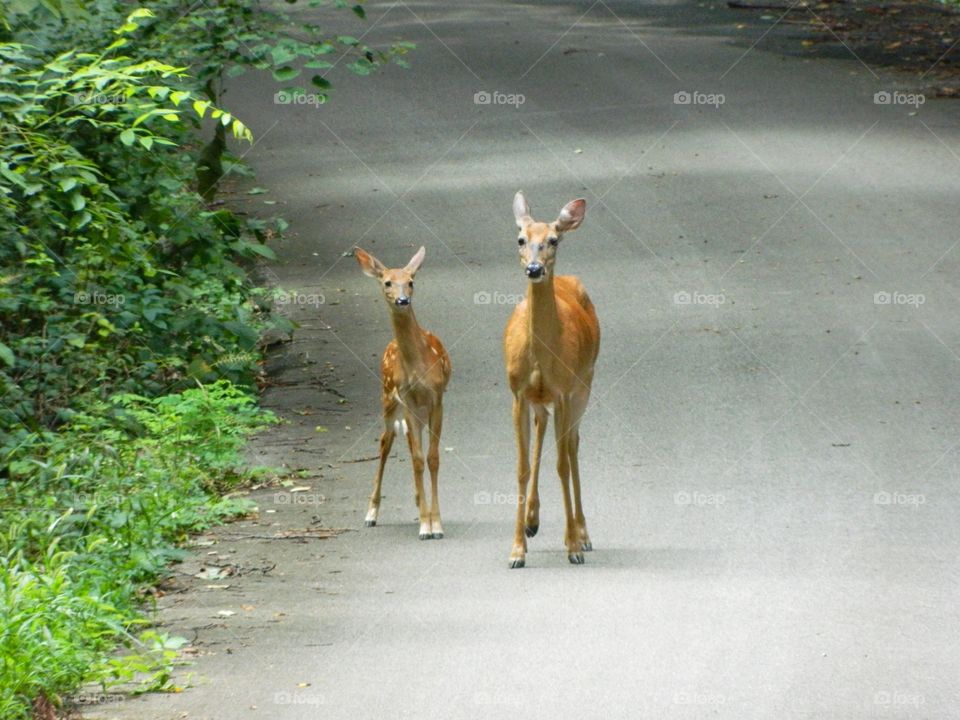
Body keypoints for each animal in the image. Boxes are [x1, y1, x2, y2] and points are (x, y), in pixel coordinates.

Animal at [354, 246, 452, 540]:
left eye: (411, 281)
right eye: (387, 282)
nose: (402, 300)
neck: (418, 367)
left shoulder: (437, 398)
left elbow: (431, 458)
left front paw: (436, 524)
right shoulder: (407, 399)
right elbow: (419, 458)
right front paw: (425, 526)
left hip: (415, 408)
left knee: (408, 442)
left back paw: (420, 503)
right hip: (388, 398)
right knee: (386, 441)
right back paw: (371, 514)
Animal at [503, 192, 600, 568]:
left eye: (554, 240)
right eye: (520, 239)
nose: (534, 269)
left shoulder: (563, 391)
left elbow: (561, 464)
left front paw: (572, 546)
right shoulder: (518, 392)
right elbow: (521, 467)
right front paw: (516, 550)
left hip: (584, 383)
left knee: (572, 444)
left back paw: (583, 533)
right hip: (542, 398)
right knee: (543, 429)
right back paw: (532, 521)